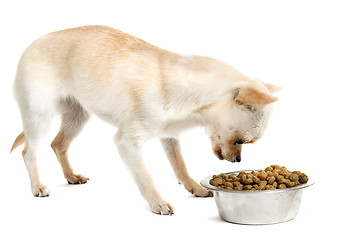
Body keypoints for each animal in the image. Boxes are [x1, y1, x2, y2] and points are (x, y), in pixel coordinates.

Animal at [9, 25, 280, 215]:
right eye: (242, 141)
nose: (238, 161)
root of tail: (32, 43)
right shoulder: (127, 143)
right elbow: (145, 177)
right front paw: (157, 202)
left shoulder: (169, 136)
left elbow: (179, 166)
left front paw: (194, 187)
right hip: (39, 118)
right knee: (28, 152)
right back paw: (37, 186)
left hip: (78, 116)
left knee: (58, 144)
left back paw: (71, 176)